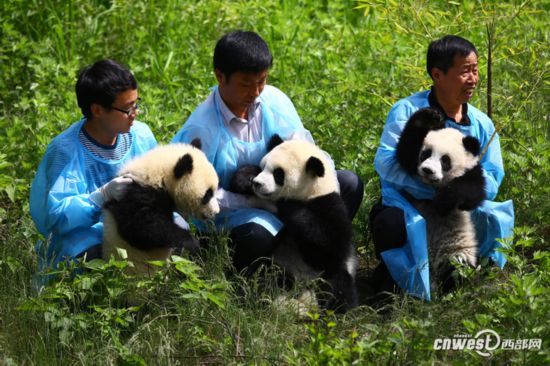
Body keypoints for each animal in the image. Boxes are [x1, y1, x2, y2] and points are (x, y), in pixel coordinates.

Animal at [232, 136, 358, 314]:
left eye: (278, 174)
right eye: (263, 167)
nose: (257, 184)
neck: (310, 192)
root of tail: (302, 289)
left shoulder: (330, 204)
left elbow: (332, 246)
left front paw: (288, 206)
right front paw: (245, 178)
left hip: (324, 273)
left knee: (337, 286)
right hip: (278, 262)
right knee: (263, 277)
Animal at [396, 108, 488, 292]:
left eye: (445, 160)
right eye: (425, 154)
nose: (427, 170)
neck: (434, 185)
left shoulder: (472, 172)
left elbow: (471, 194)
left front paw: (443, 203)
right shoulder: (411, 163)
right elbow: (405, 151)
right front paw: (430, 116)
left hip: (457, 248)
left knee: (456, 271)